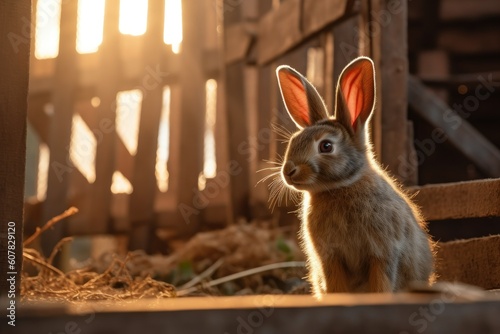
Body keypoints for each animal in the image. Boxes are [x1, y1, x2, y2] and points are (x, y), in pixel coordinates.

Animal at [276, 56, 436, 298]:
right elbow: (336, 287)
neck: (340, 187)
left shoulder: (383, 253)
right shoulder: (330, 259)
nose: (288, 171)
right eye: (294, 141)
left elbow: (381, 284)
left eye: (326, 146)